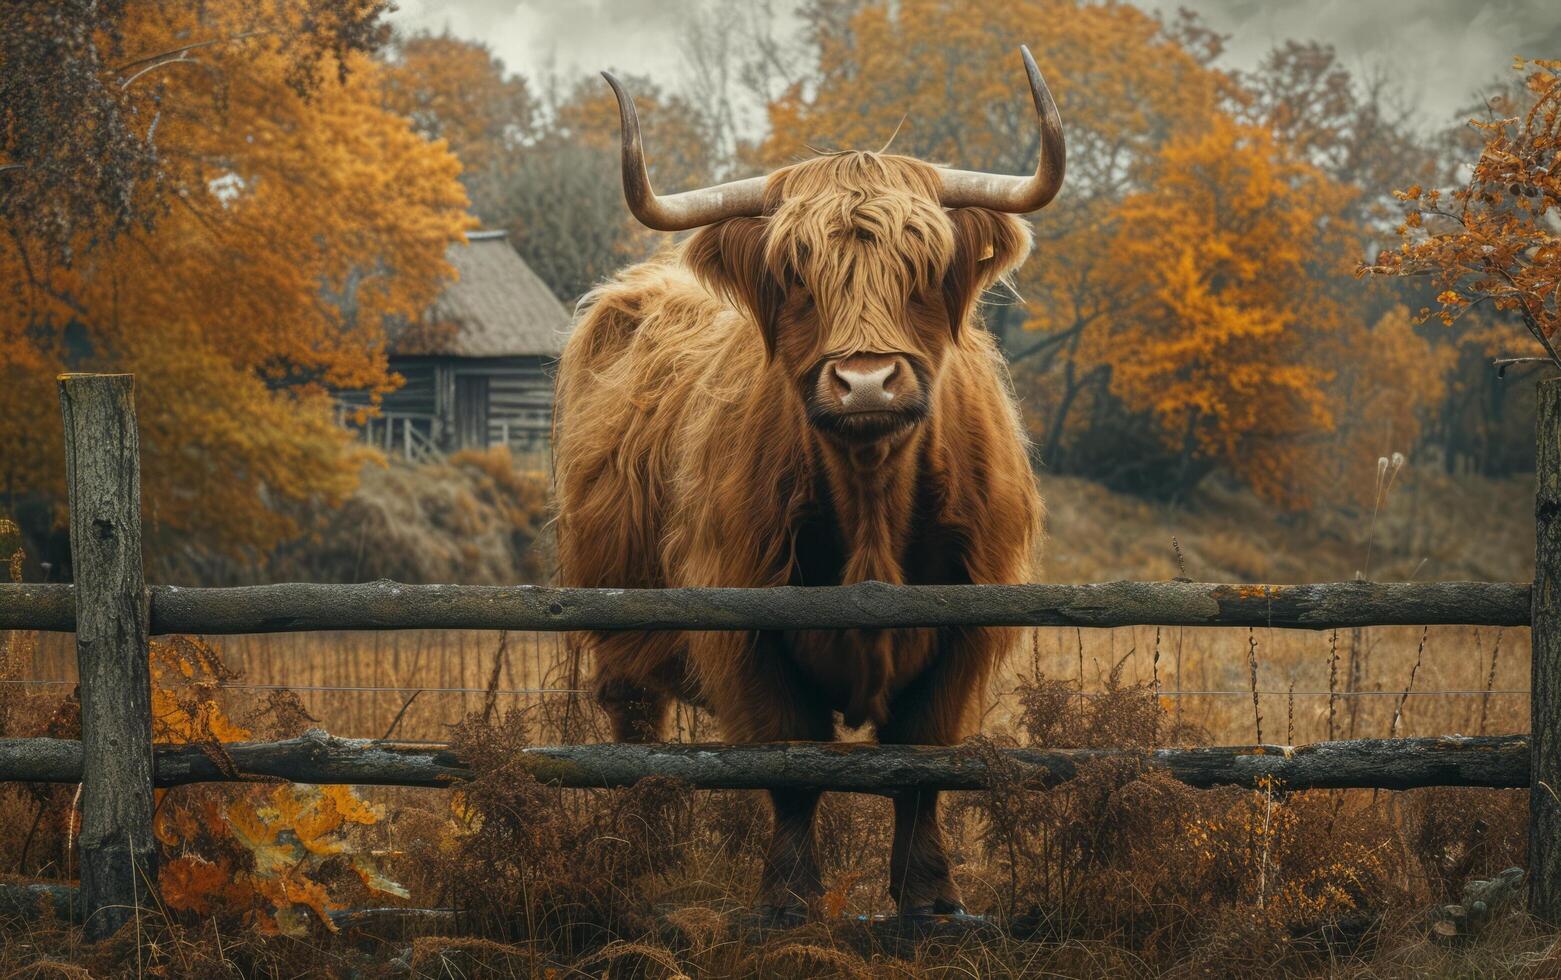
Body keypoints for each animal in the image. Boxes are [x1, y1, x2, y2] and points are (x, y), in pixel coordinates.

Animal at [552, 44, 1061, 917]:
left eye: (924, 267)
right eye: (795, 273)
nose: (864, 382)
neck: (870, 506)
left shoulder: (966, 629)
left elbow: (922, 764)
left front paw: (930, 899)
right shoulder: (747, 629)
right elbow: (790, 767)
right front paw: (789, 899)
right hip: (617, 612)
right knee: (635, 722)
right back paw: (645, 853)